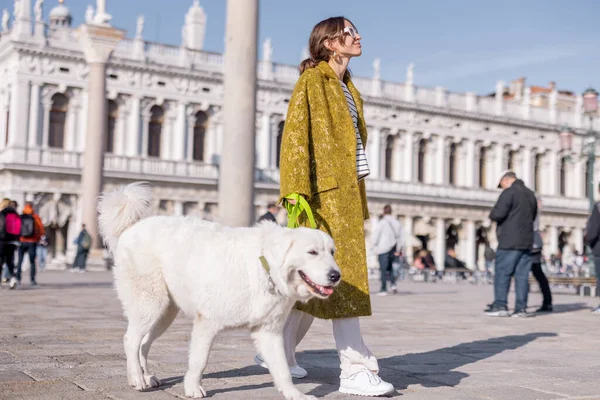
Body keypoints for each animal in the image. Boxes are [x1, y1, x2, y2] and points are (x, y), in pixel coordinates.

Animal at [99, 183, 342, 398]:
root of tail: (131, 228)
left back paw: (147, 376)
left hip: (165, 313)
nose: (336, 276)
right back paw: (137, 379)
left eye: (332, 252)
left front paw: (295, 394)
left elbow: (282, 369)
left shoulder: (269, 331)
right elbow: (200, 360)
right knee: (131, 339)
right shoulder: (207, 322)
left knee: (144, 343)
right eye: (312, 252)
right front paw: (193, 389)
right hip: (150, 304)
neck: (264, 267)